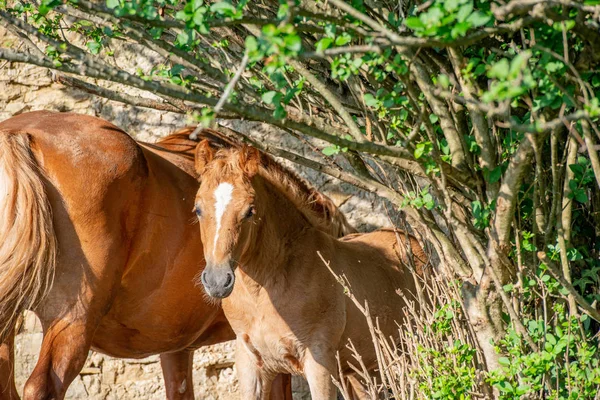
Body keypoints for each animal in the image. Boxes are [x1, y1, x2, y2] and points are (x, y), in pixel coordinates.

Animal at [192, 141, 426, 400]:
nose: (217, 281)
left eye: (250, 210)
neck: (263, 293)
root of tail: (410, 240)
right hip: (361, 369)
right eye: (197, 209)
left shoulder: (319, 362)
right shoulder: (250, 364)